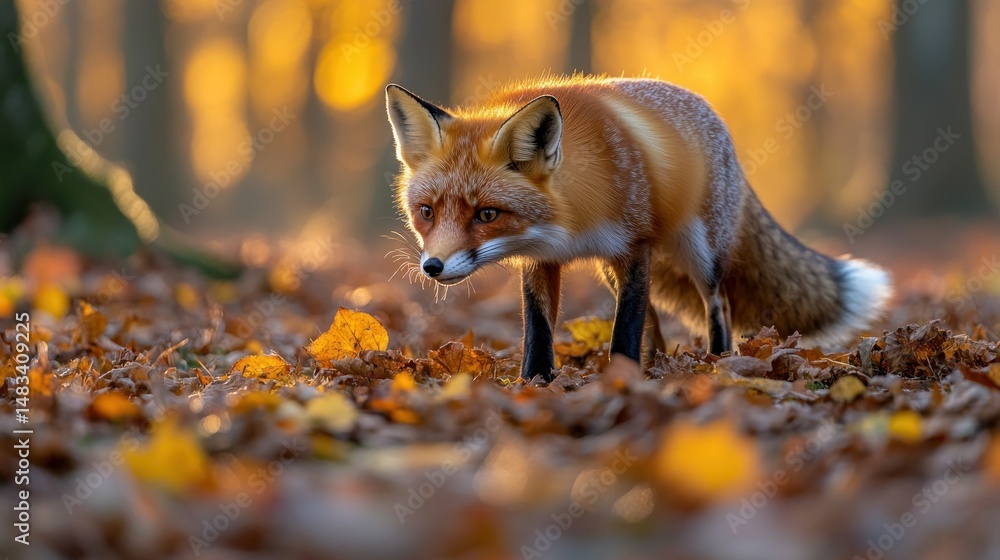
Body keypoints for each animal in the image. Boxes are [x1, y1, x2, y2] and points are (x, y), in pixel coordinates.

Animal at [385, 76, 892, 381]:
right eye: (427, 212)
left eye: (486, 215)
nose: (433, 267)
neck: (568, 223)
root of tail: (709, 110)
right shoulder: (542, 260)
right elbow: (539, 331)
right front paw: (535, 384)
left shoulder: (634, 246)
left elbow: (624, 328)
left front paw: (619, 381)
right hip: (615, 270)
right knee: (655, 318)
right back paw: (658, 362)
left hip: (700, 254)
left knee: (719, 304)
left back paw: (717, 361)